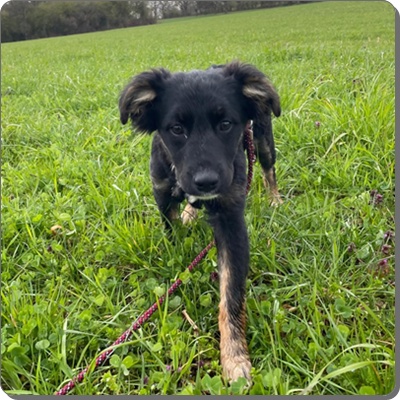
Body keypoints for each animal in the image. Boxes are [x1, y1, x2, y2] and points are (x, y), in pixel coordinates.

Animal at [119, 61, 281, 382]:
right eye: (176, 129)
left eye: (226, 124)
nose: (206, 182)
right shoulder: (162, 194)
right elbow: (172, 233)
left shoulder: (231, 219)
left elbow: (231, 297)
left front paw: (234, 358)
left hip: (263, 139)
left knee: (269, 170)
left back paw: (275, 200)